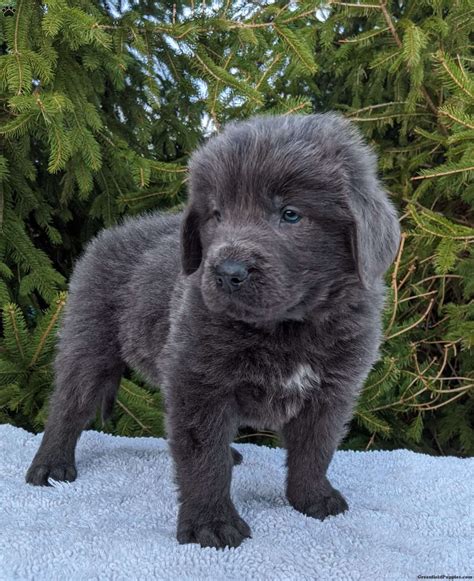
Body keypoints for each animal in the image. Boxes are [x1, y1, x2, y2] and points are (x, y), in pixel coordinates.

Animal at [25, 113, 400, 548]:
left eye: (290, 214)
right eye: (217, 214)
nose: (227, 272)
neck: (287, 327)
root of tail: (108, 235)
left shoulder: (330, 391)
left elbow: (315, 449)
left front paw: (312, 497)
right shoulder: (199, 381)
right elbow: (204, 455)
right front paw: (211, 523)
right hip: (90, 342)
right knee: (68, 406)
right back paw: (50, 466)